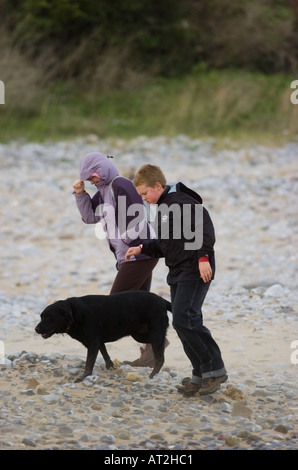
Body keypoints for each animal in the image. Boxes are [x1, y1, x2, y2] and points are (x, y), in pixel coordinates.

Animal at [35, 292, 170, 380]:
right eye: (41, 316)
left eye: (48, 318)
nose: (36, 329)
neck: (74, 313)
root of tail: (162, 301)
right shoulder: (98, 342)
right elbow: (105, 355)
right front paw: (110, 367)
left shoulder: (93, 343)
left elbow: (89, 362)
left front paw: (83, 377)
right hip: (140, 334)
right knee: (163, 344)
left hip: (153, 334)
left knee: (160, 357)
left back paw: (152, 375)